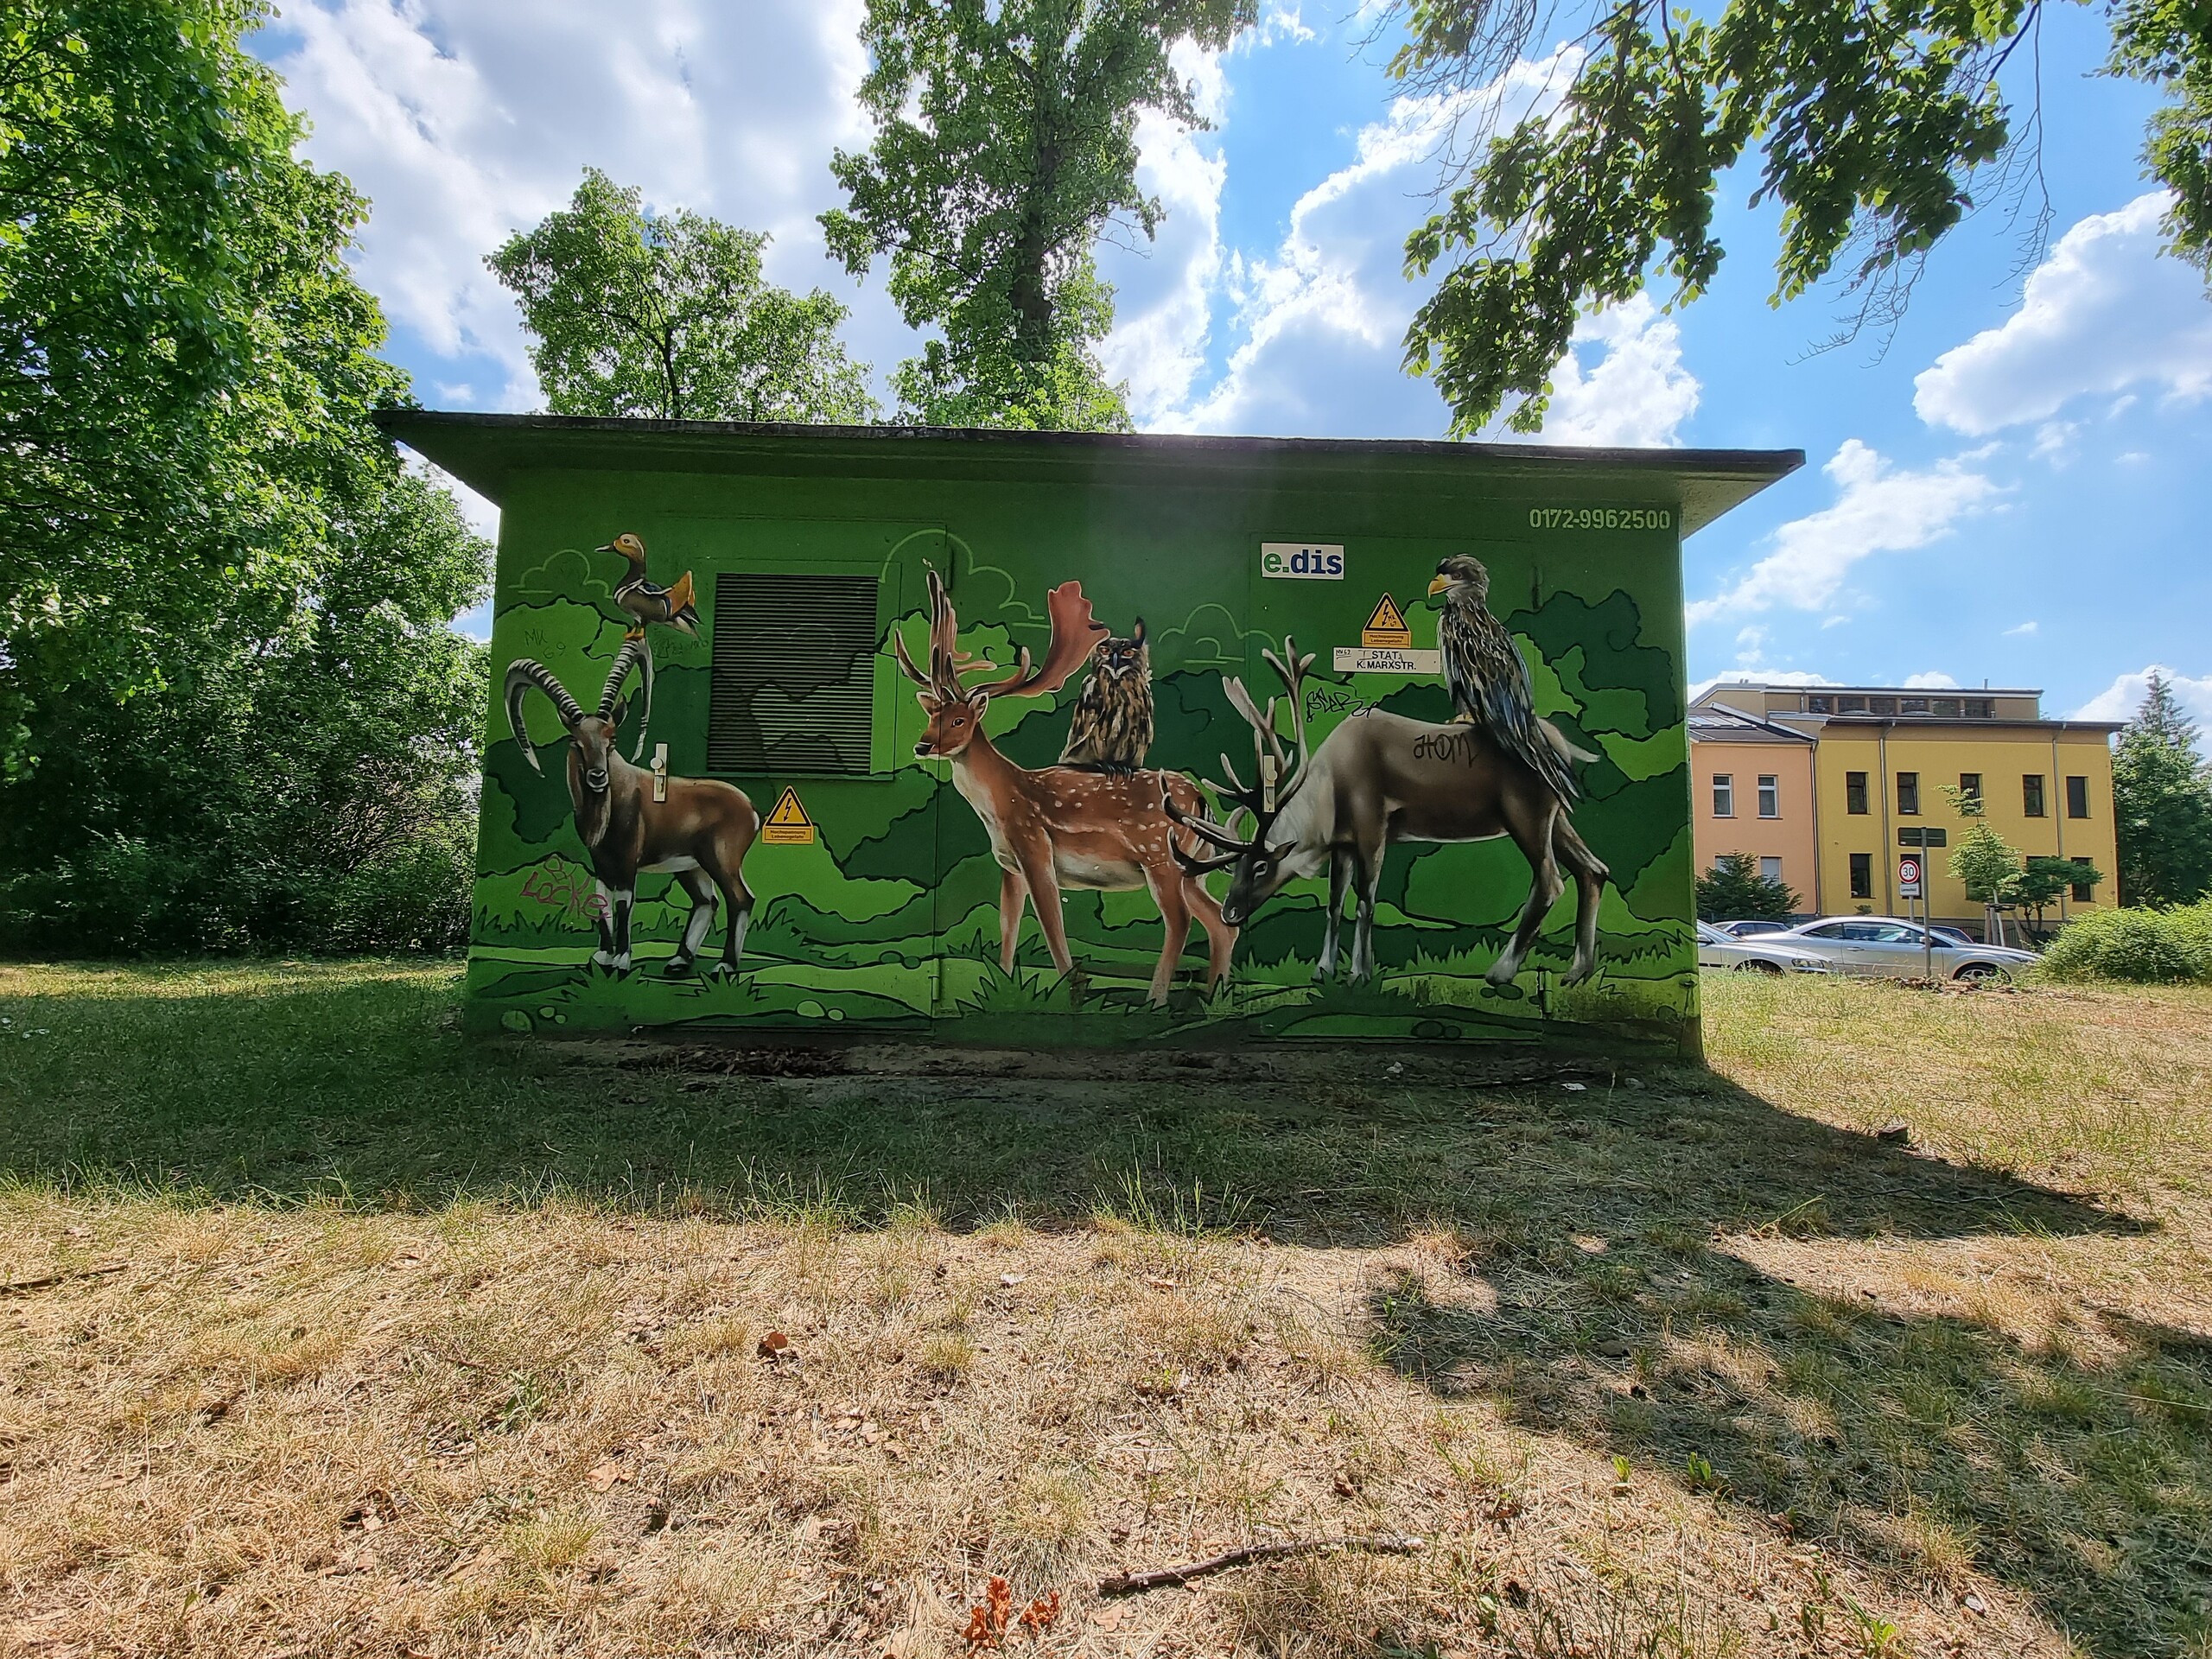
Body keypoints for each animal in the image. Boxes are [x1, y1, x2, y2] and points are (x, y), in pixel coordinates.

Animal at [505, 640, 760, 978]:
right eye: (576, 741)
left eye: (611, 740)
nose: (597, 776)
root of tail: (751, 809)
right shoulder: (600, 861)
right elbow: (601, 899)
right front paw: (602, 957)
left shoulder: (627, 860)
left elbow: (624, 902)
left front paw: (622, 961)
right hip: (691, 866)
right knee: (707, 901)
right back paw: (679, 961)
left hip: (721, 858)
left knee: (740, 898)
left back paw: (726, 965)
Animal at [895, 569, 1236, 1006]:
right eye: (932, 715)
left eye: (958, 720)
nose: (921, 746)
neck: (998, 808)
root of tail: (1200, 799)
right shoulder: (1009, 865)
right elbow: (1008, 925)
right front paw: (1005, 989)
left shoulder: (1035, 848)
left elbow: (1051, 922)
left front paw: (1073, 992)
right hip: (1192, 868)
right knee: (1221, 922)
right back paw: (1214, 999)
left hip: (1159, 854)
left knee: (1180, 921)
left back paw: (1155, 1001)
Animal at [1164, 637, 1609, 988]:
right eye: (1233, 866)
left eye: (1260, 865)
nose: (1230, 912)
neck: (1328, 800)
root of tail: (1565, 748)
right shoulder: (1343, 843)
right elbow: (1334, 905)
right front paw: (1323, 970)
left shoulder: (1372, 825)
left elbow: (1365, 901)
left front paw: (1361, 973)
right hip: (1557, 816)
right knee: (1594, 869)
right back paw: (1578, 972)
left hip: (1526, 813)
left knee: (1551, 880)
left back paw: (1501, 971)